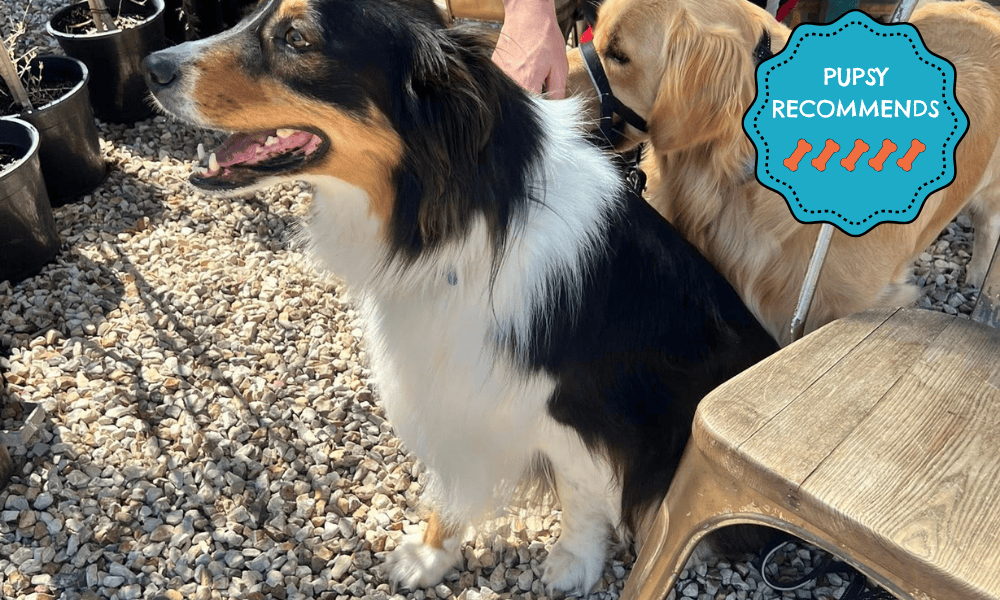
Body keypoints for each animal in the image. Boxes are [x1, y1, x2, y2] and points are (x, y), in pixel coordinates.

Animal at [142, 0, 778, 594]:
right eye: (255, 14)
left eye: (296, 38)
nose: (153, 66)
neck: (461, 223)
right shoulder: (448, 387)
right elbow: (450, 481)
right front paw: (431, 556)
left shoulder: (579, 409)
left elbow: (582, 493)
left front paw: (573, 563)